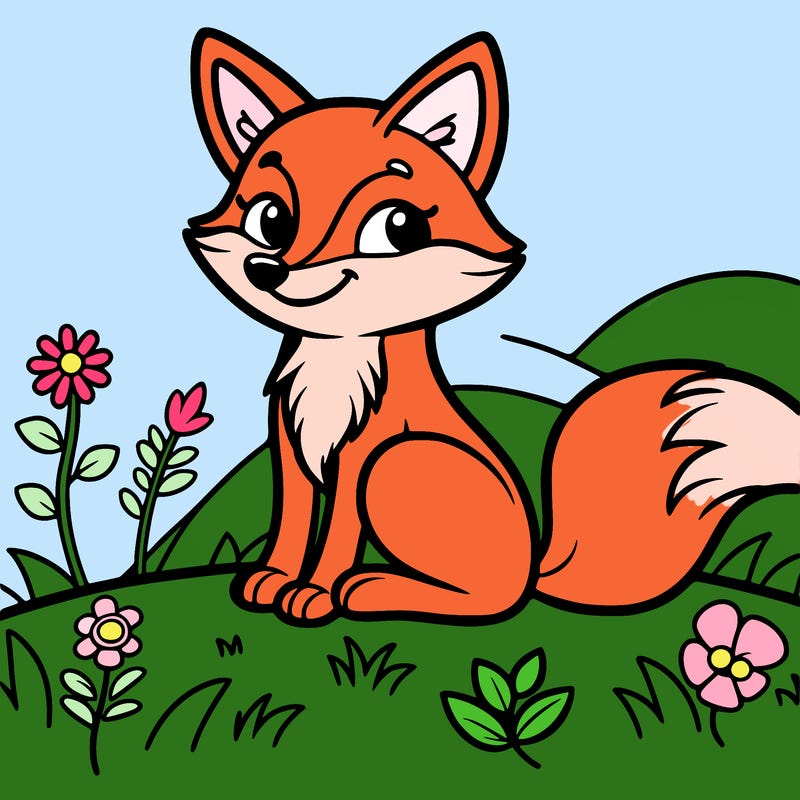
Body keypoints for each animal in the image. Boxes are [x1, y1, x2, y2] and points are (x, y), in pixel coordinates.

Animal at [184, 28, 800, 624]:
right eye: (270, 218)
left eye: (397, 227)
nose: (270, 269)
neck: (336, 360)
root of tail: (534, 567)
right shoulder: (289, 447)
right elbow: (290, 524)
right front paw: (271, 580)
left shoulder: (359, 454)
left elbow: (335, 534)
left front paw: (312, 593)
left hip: (399, 463)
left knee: (488, 599)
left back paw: (372, 589)